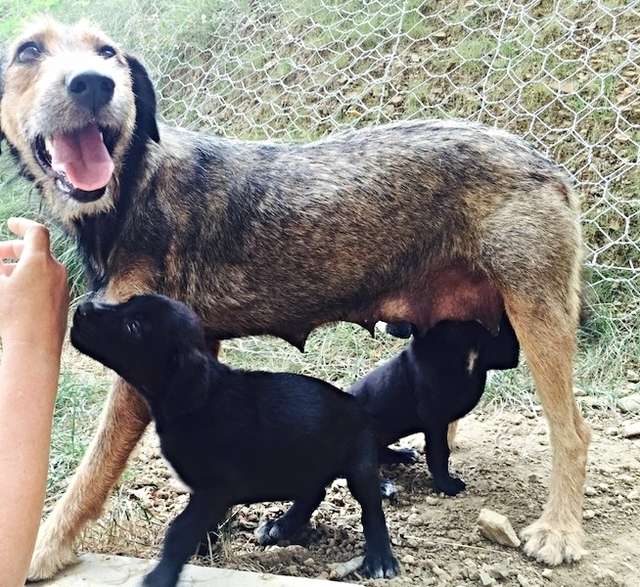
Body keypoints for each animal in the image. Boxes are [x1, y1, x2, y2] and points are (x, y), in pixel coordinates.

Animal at [70, 294, 399, 585]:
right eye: (127, 302)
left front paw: (162, 575)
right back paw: (283, 525)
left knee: (371, 510)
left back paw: (380, 558)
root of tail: (355, 403)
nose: (81, 309)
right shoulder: (205, 492)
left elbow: (181, 530)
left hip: (358, 465)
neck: (199, 400)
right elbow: (199, 525)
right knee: (313, 492)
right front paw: (203, 547)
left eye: (133, 327)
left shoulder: (214, 488)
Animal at [351, 315, 519, 496]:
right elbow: (438, 454)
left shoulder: (501, 353)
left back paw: (403, 455)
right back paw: (382, 486)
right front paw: (447, 485)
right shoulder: (435, 420)